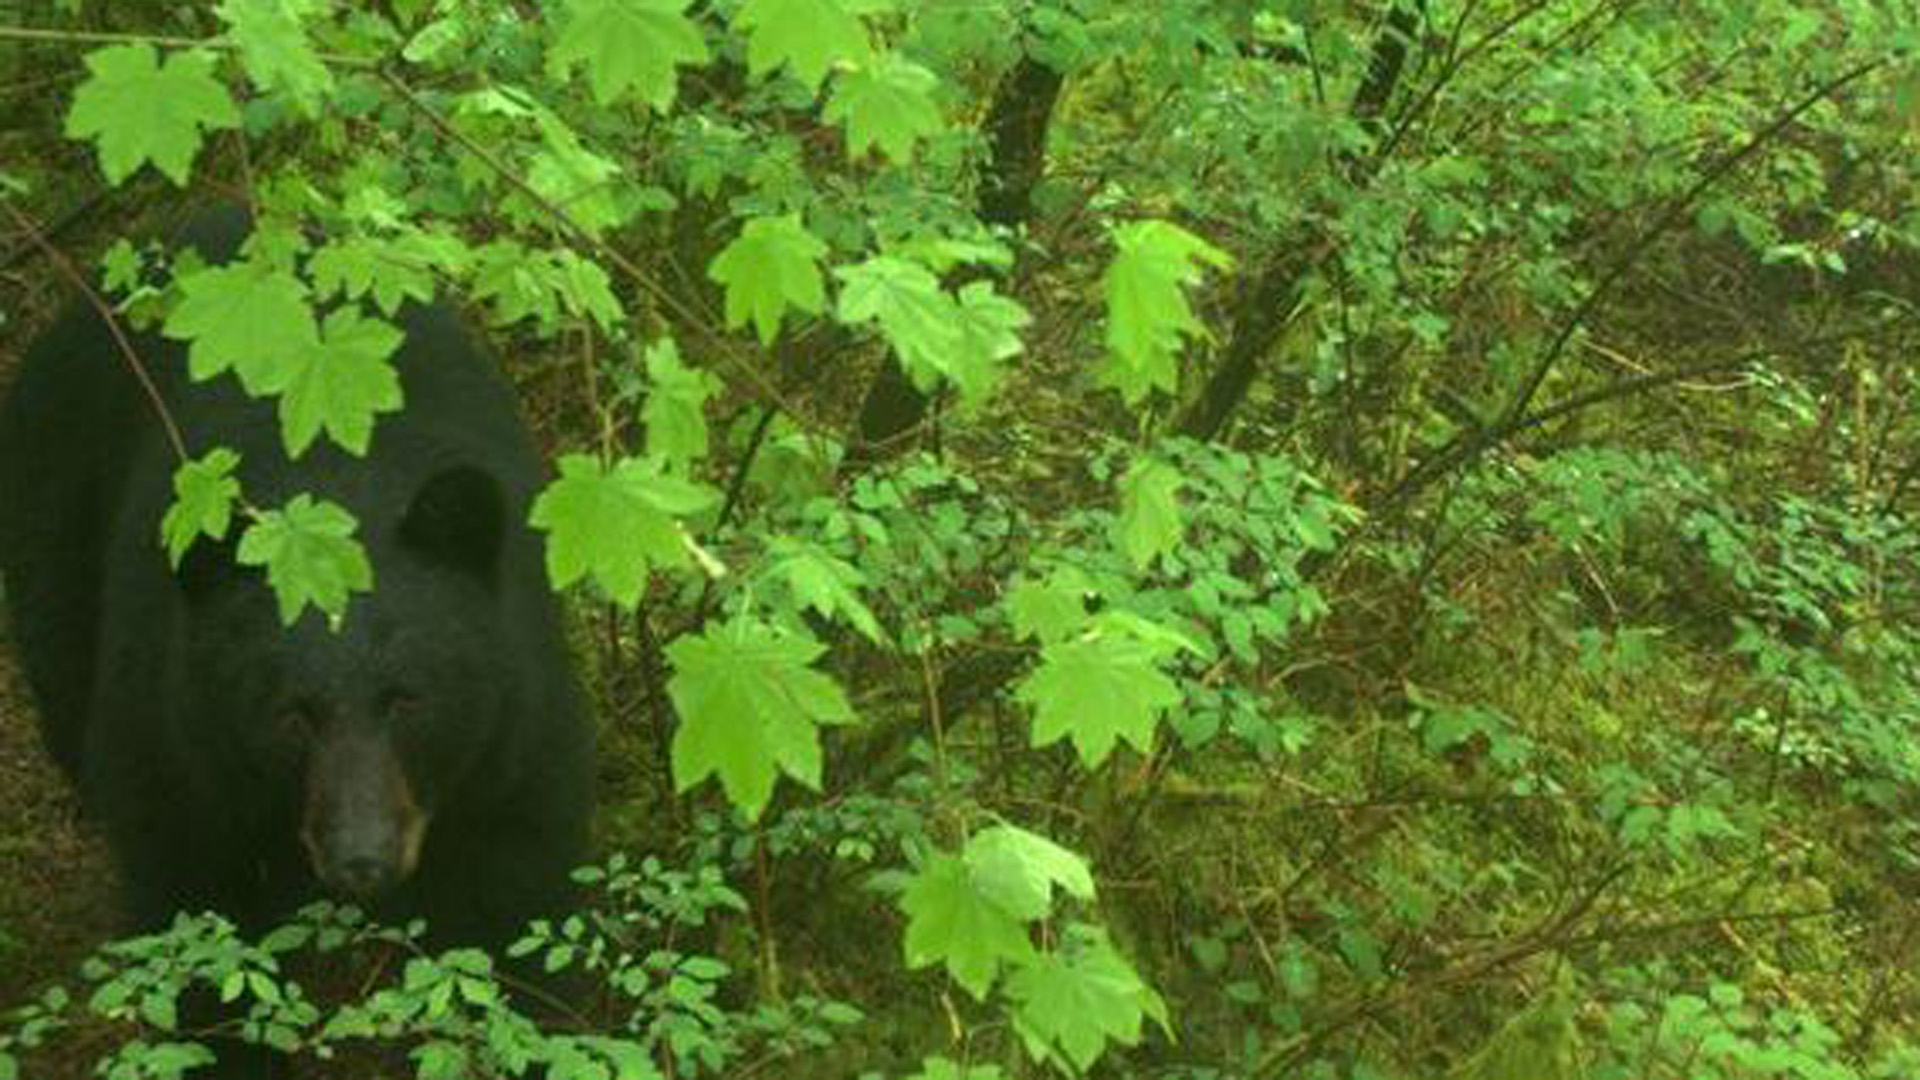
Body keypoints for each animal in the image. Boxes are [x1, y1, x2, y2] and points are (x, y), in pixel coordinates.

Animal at [0, 206, 594, 1072]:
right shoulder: (181, 753)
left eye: (407, 701)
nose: (363, 859)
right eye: (290, 716)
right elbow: (197, 936)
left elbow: (518, 919)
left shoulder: (513, 738)